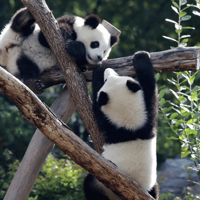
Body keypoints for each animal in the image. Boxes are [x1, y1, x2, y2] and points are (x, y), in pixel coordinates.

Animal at [84, 50, 159, 199]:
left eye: (106, 80)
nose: (108, 70)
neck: (130, 123)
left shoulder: (109, 124)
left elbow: (97, 110)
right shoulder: (148, 115)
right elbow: (150, 88)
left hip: (103, 181)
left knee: (89, 184)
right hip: (150, 185)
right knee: (155, 189)